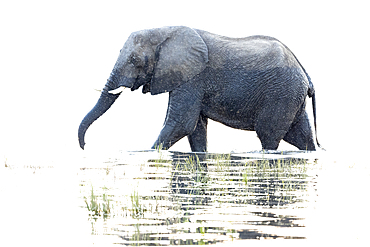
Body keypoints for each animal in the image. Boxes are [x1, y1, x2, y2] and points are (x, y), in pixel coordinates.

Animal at [78, 26, 320, 151]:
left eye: (135, 60)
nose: (85, 146)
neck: (164, 30)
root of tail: (306, 75)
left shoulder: (193, 78)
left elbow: (181, 123)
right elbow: (195, 128)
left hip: (281, 94)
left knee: (269, 134)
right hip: (291, 96)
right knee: (301, 136)